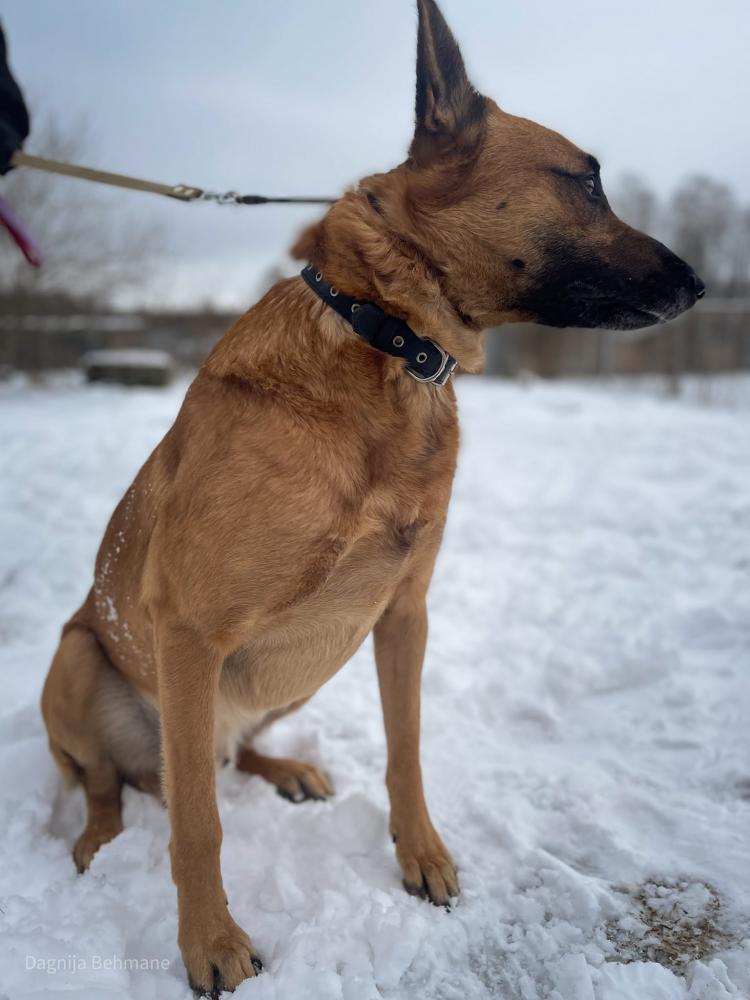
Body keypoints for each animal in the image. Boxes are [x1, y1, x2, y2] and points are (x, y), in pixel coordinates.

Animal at [41, 1, 703, 994]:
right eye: (586, 183)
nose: (702, 284)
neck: (387, 342)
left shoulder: (402, 614)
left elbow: (406, 750)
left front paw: (421, 855)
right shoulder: (186, 626)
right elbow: (199, 826)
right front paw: (210, 943)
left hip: (296, 671)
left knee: (224, 757)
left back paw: (284, 767)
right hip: (81, 657)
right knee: (118, 785)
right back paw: (97, 839)